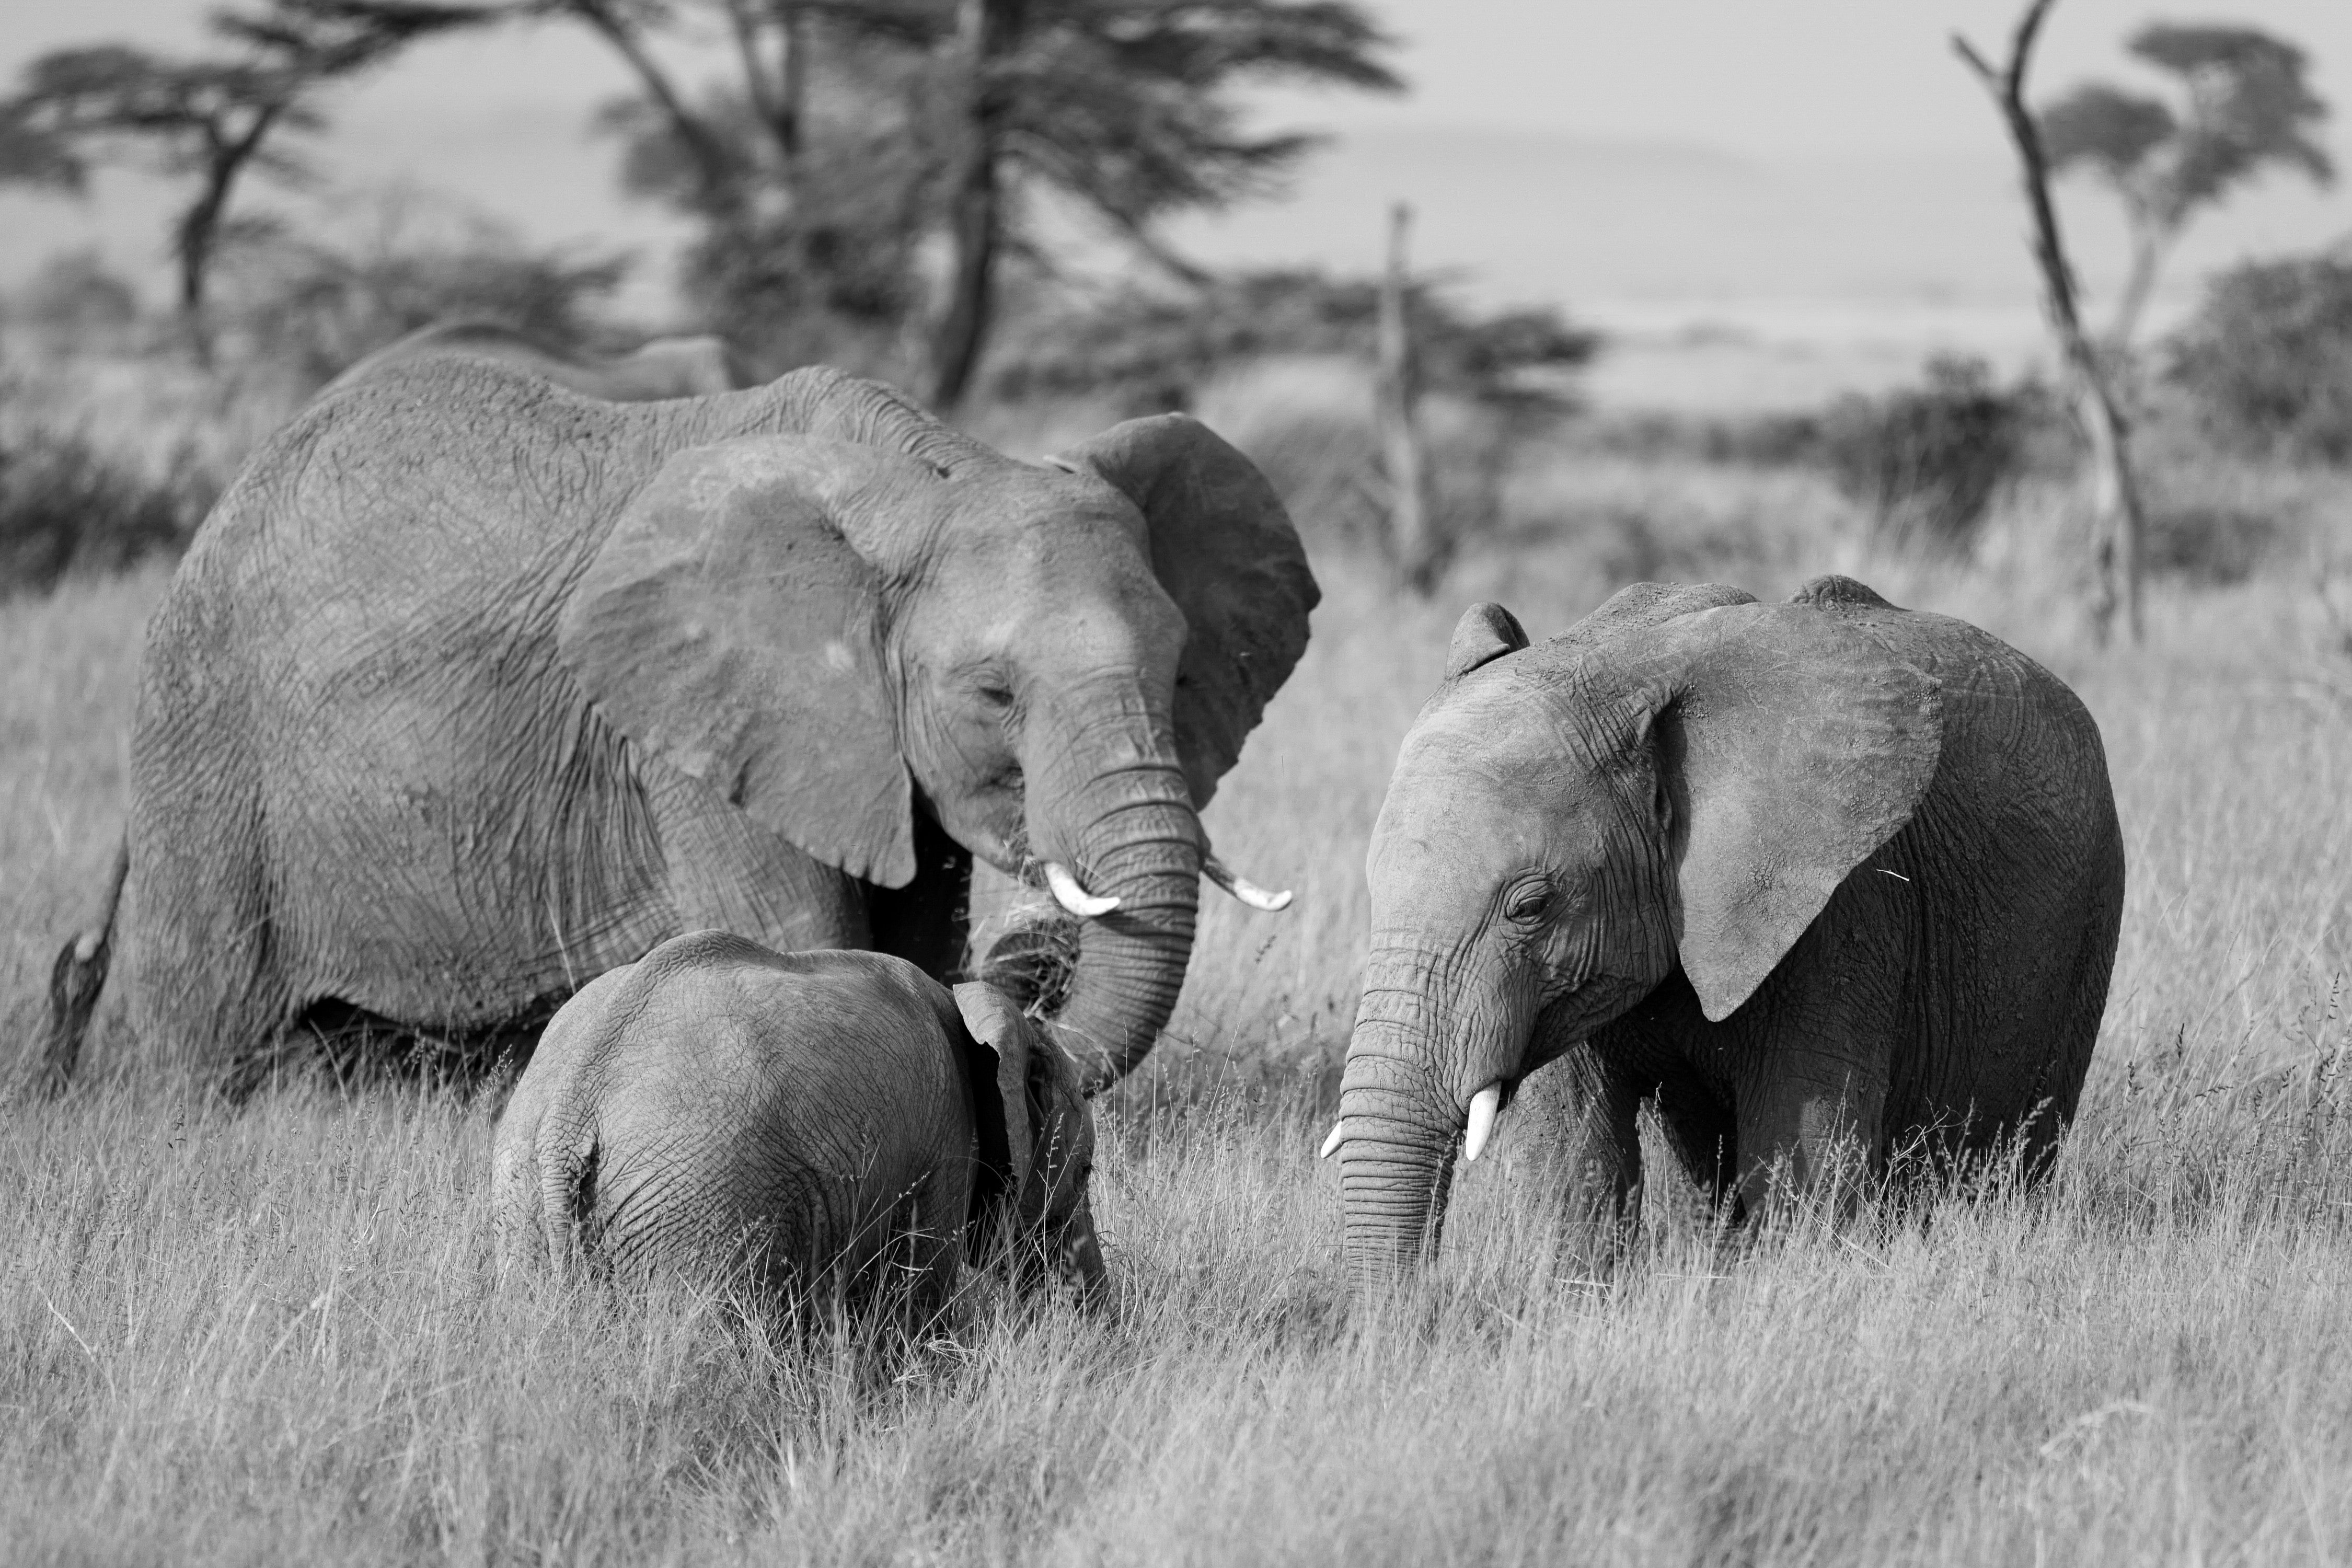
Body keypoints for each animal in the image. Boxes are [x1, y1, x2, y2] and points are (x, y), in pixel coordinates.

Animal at [40, 358, 1314, 1093]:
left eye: (1182, 670)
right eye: (993, 695)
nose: (1036, 970)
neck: (928, 473)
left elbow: (907, 939)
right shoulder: (699, 733)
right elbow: (805, 942)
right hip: (203, 748)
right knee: (214, 1047)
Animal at [491, 931, 1104, 1314]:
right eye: (1087, 1172)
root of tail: (569, 1116)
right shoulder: (949, 1137)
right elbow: (918, 1290)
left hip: (521, 1202)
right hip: (701, 1203)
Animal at [1325, 576, 2125, 1287]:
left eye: (1531, 906)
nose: (1403, 1319)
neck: (1623, 666)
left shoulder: (1843, 908)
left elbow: (1803, 1158)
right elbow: (1577, 1158)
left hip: (2091, 916)